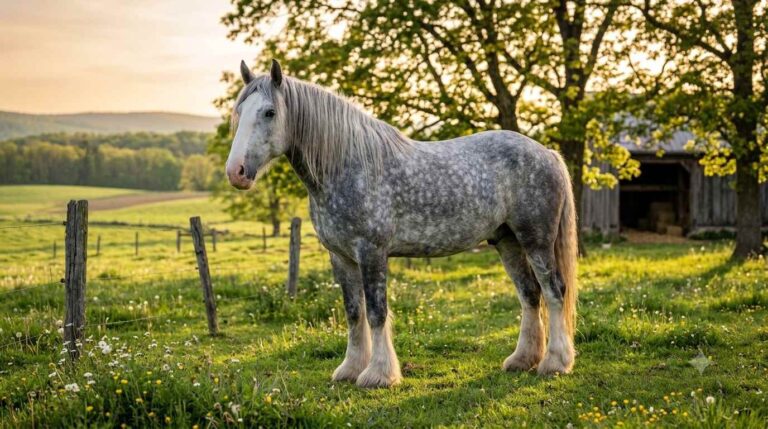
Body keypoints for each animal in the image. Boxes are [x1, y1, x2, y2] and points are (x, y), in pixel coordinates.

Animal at [225, 59, 578, 388]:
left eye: (269, 112)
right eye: (240, 111)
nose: (236, 172)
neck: (347, 165)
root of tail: (547, 152)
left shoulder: (371, 252)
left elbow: (376, 311)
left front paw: (378, 374)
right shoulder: (341, 257)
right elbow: (354, 313)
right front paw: (350, 369)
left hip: (536, 240)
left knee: (554, 291)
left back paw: (555, 363)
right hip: (507, 241)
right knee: (530, 294)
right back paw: (523, 360)